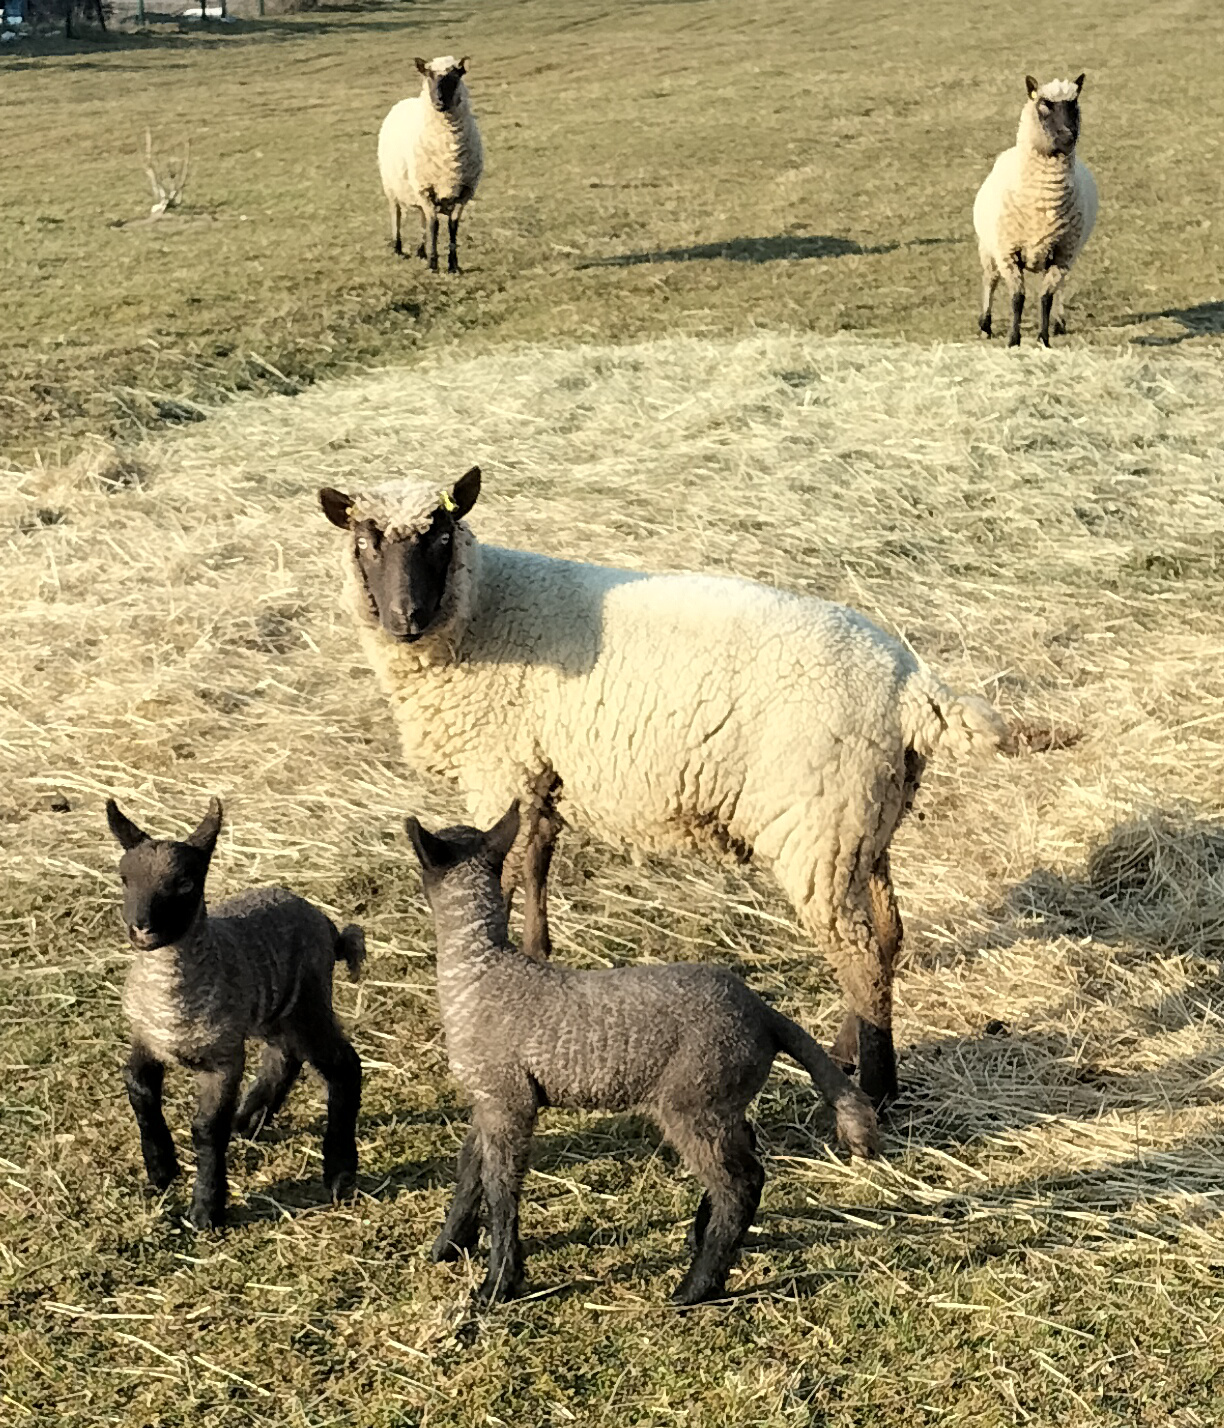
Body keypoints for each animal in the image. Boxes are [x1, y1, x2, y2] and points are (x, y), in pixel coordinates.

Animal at [106, 793, 362, 1228]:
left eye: (185, 884)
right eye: (125, 879)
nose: (141, 928)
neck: (170, 995)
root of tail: (326, 924)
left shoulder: (223, 1059)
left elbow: (207, 1129)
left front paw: (206, 1209)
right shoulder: (146, 1039)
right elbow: (138, 1089)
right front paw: (161, 1169)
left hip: (309, 1000)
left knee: (343, 1064)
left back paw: (339, 1170)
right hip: (275, 1008)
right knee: (285, 1055)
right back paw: (249, 1121)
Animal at [317, 468, 1011, 1102]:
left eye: (440, 535)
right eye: (365, 540)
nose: (406, 617)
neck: (482, 609)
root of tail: (912, 689)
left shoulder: (501, 768)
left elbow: (507, 883)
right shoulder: (539, 774)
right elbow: (537, 874)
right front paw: (540, 961)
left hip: (817, 827)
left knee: (860, 952)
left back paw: (879, 1087)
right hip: (865, 823)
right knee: (886, 939)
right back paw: (850, 1049)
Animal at [377, 55, 482, 274]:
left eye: (455, 76)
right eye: (429, 75)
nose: (439, 101)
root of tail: (404, 101)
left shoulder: (463, 193)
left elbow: (452, 227)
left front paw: (453, 265)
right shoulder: (427, 189)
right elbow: (434, 226)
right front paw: (433, 265)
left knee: (422, 217)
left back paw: (421, 250)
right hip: (391, 185)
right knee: (396, 214)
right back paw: (398, 248)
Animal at [402, 805, 879, 1308]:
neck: (480, 970)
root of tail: (763, 1012)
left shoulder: (508, 1098)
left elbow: (502, 1188)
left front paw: (497, 1284)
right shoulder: (488, 1096)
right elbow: (470, 1170)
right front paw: (447, 1246)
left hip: (692, 1098)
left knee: (740, 1184)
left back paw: (695, 1287)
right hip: (722, 1096)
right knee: (746, 1157)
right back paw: (701, 1238)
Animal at [976, 74, 1096, 345]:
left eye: (1074, 102)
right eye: (1044, 104)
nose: (1068, 137)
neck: (1044, 204)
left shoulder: (1062, 253)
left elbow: (1046, 298)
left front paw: (1044, 338)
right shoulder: (1009, 253)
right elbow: (1017, 298)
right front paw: (1013, 340)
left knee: (1059, 289)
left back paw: (1059, 322)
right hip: (988, 248)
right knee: (990, 280)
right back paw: (985, 324)